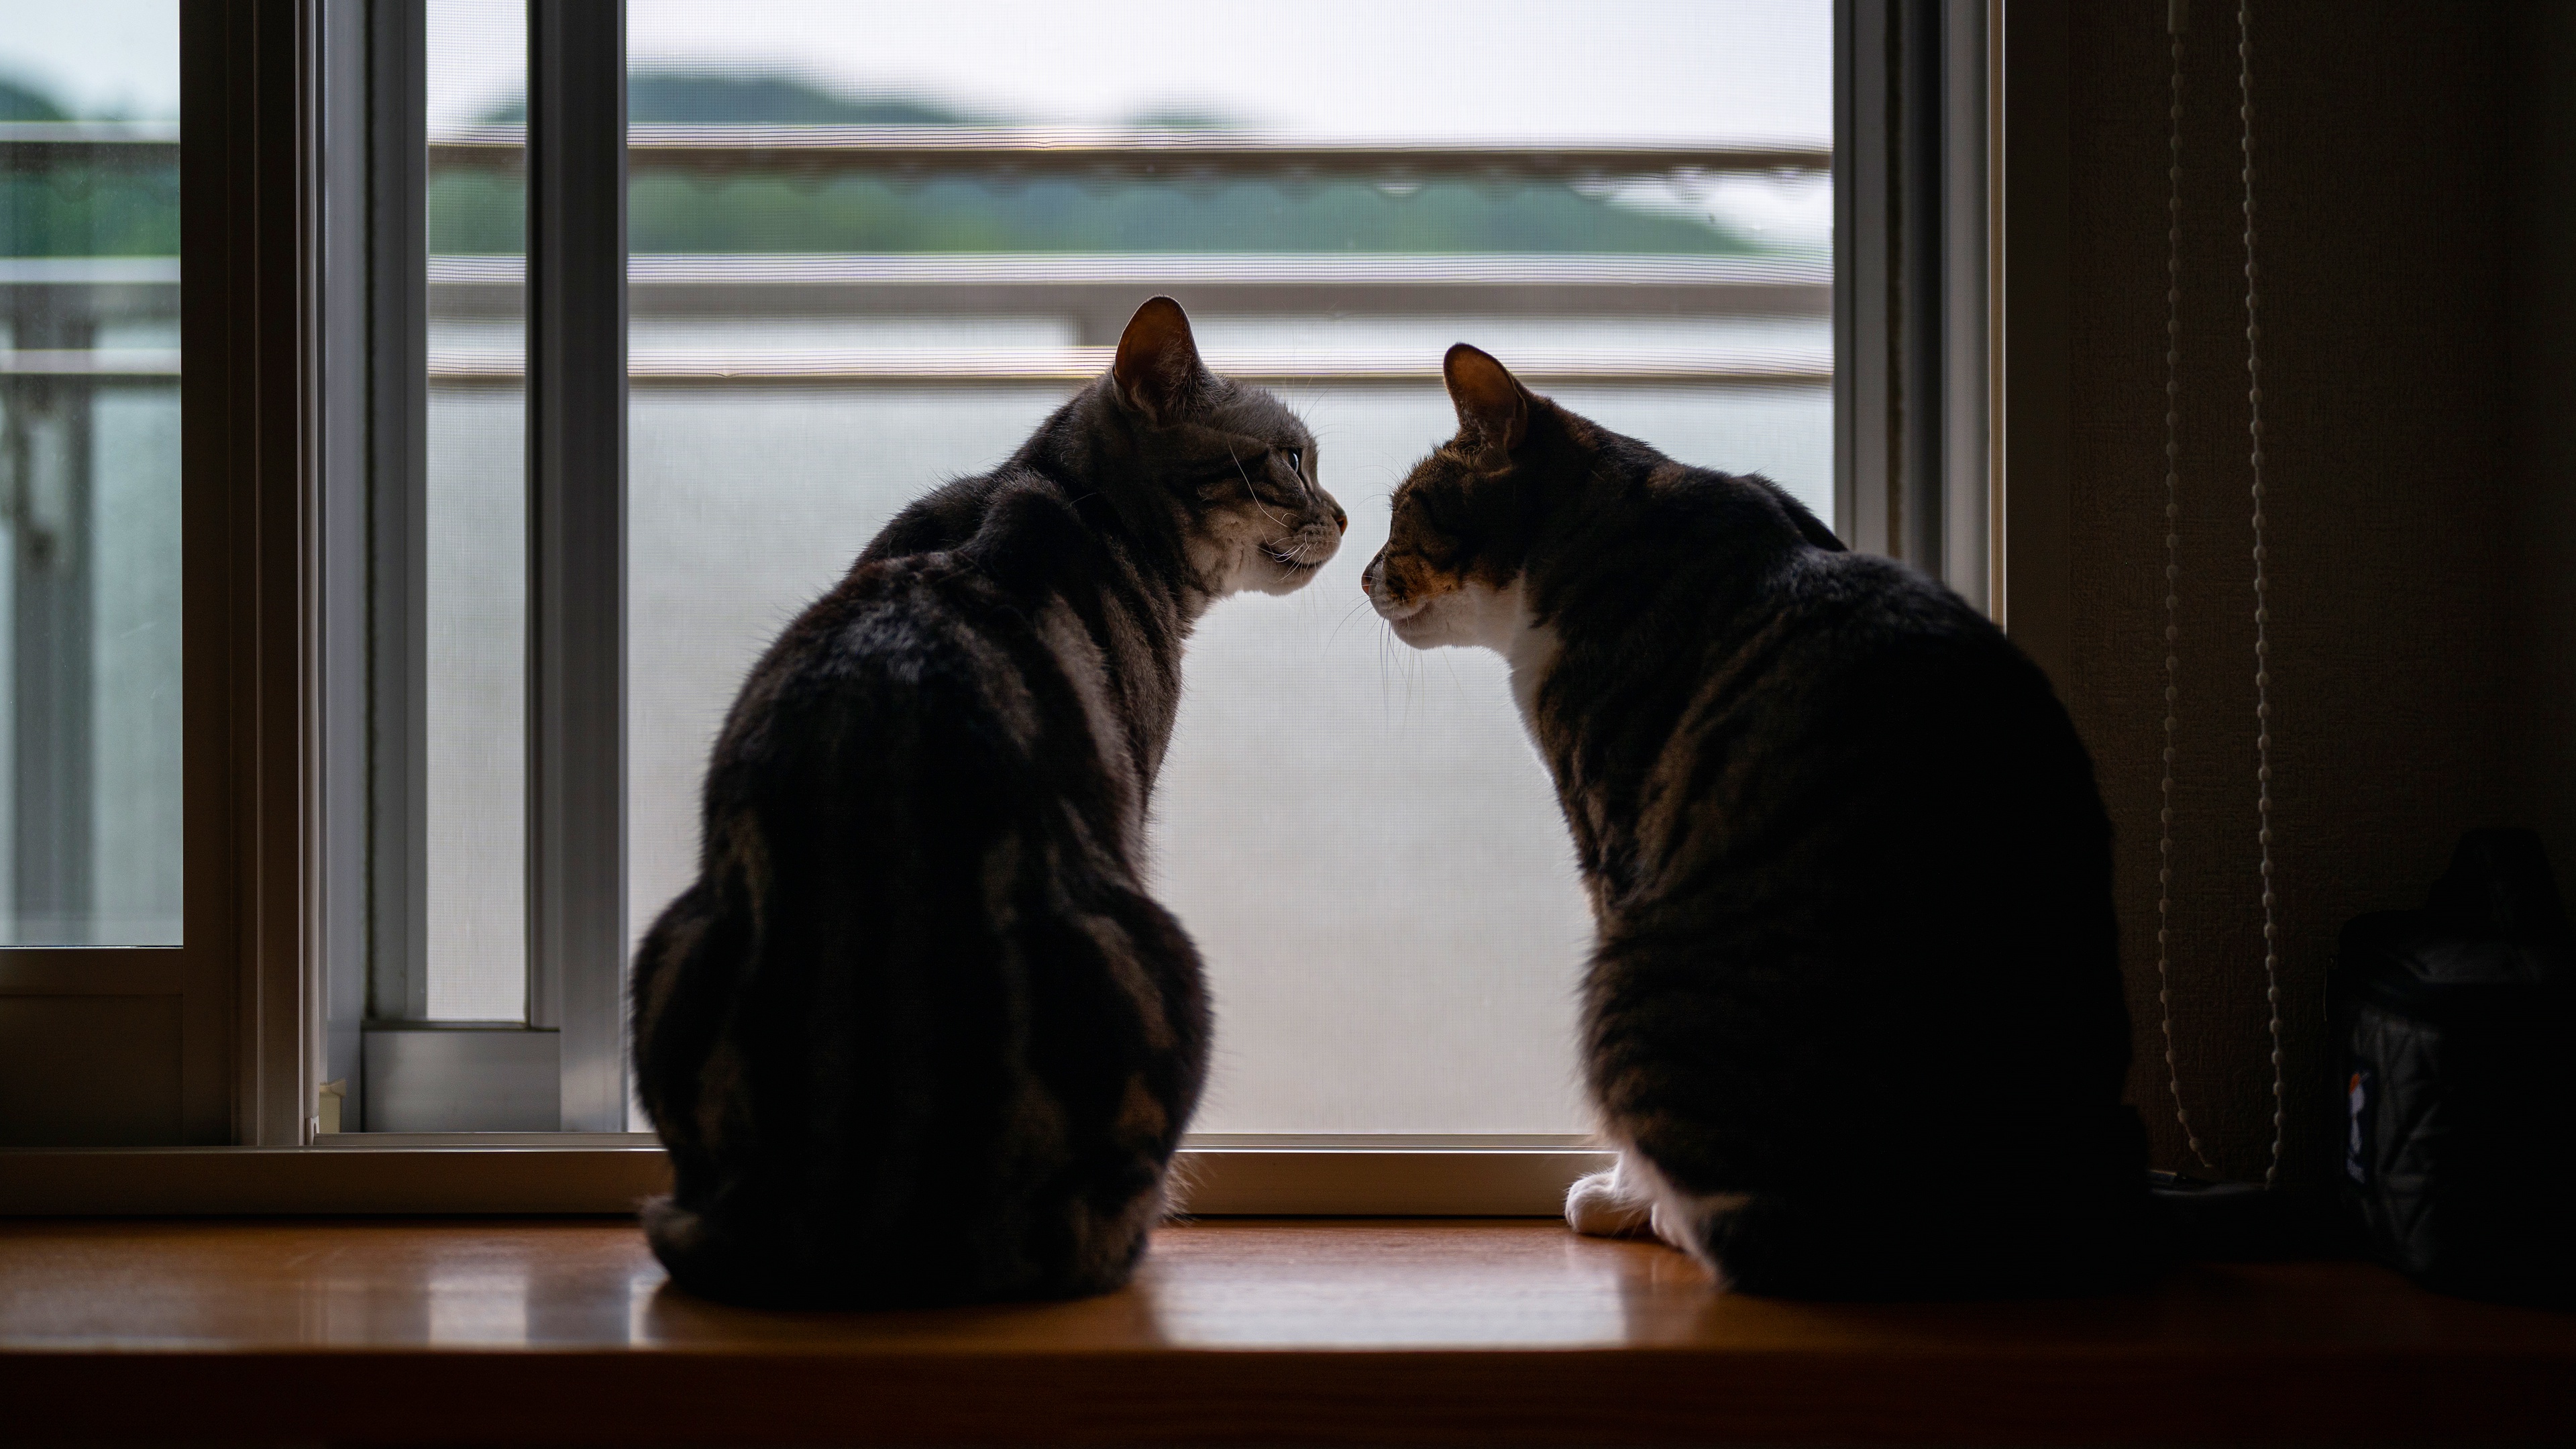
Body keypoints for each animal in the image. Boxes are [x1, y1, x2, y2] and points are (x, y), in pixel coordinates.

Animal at [1370, 343, 2153, 1289]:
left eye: (1403, 513)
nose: (1364, 576)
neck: (1603, 534)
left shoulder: (1615, 837)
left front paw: (1622, 1198)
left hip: (1628, 973)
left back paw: (1671, 1218)